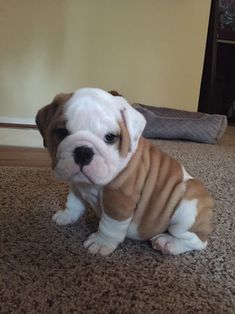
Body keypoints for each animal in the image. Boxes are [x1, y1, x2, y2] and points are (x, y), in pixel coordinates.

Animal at [35, 87, 214, 255]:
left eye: (110, 137)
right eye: (62, 132)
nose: (83, 152)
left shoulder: (118, 199)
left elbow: (110, 225)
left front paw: (101, 242)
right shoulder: (77, 186)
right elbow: (73, 202)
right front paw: (67, 216)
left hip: (186, 210)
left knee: (196, 241)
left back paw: (168, 242)